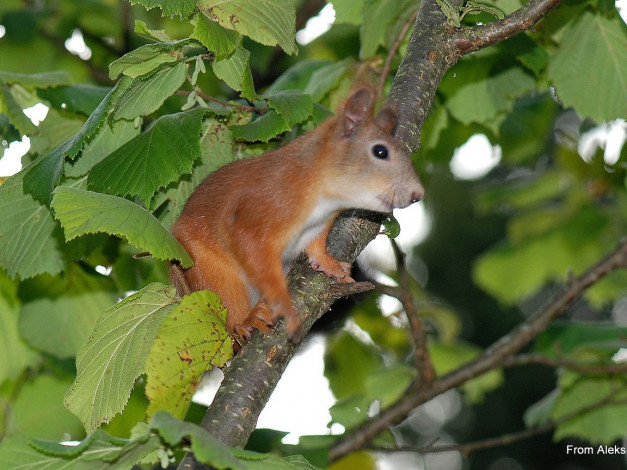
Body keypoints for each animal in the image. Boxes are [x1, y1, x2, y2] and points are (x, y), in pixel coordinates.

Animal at [169, 87, 424, 346]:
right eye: (380, 151)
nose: (417, 194)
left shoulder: (319, 226)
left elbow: (317, 248)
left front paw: (329, 265)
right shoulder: (259, 213)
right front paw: (285, 305)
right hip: (208, 271)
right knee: (229, 309)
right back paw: (248, 320)